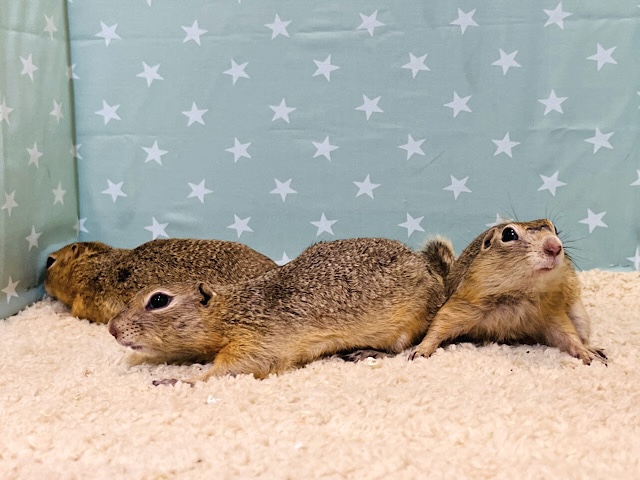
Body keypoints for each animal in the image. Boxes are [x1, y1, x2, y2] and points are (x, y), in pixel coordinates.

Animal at [107, 237, 450, 382]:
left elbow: (231, 369)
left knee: (400, 347)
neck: (232, 310)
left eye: (158, 300)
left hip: (405, 325)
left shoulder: (257, 342)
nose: (112, 328)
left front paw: (180, 380)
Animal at [408, 218, 608, 364]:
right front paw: (420, 351)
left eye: (555, 229)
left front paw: (585, 353)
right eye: (508, 233)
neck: (518, 294)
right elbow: (439, 325)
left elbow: (568, 334)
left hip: (579, 315)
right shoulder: (462, 305)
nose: (555, 247)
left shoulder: (551, 314)